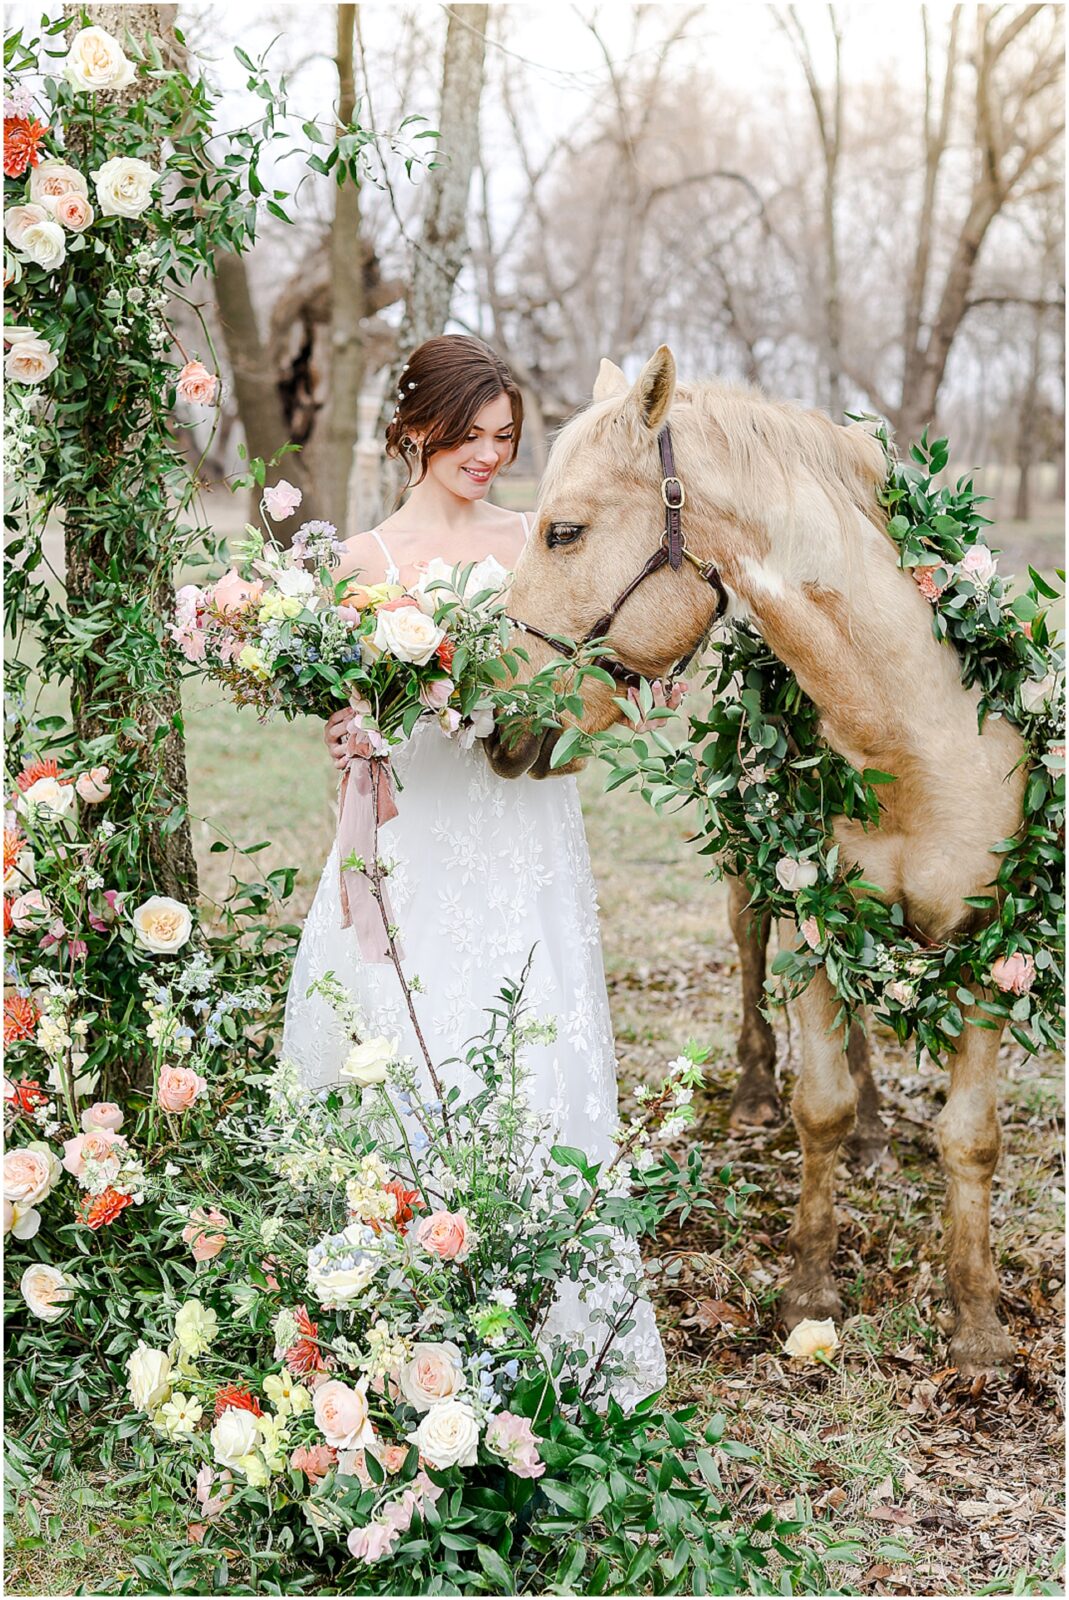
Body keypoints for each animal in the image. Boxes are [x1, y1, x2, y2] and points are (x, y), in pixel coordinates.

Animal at [486, 344, 1024, 1369]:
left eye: (563, 531)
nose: (494, 724)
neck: (916, 738)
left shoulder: (990, 947)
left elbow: (969, 1137)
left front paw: (975, 1320)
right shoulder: (811, 917)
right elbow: (816, 1106)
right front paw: (809, 1288)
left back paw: (876, 1133)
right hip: (754, 883)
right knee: (749, 961)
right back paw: (753, 1094)